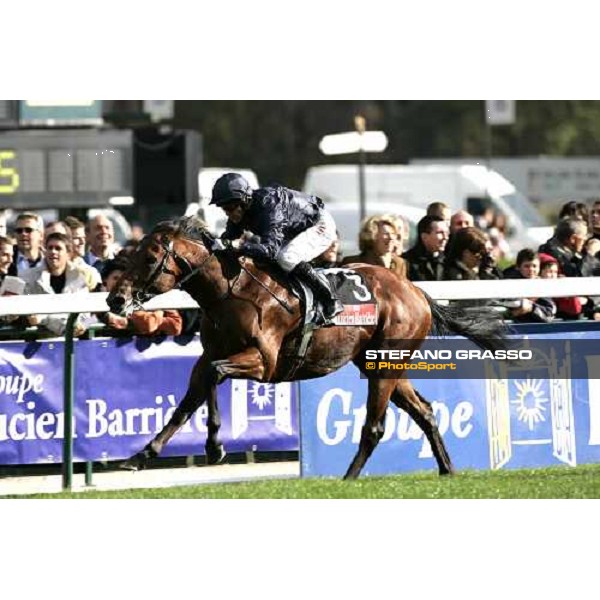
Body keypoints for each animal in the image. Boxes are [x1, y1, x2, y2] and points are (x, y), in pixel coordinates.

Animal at [106, 218, 506, 480]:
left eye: (149, 257)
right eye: (131, 255)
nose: (115, 299)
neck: (228, 291)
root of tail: (416, 291)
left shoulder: (264, 363)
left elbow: (216, 375)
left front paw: (213, 445)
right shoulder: (208, 355)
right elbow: (191, 399)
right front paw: (144, 454)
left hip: (384, 365)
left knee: (374, 427)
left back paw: (348, 480)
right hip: (380, 364)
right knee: (424, 412)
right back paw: (447, 469)